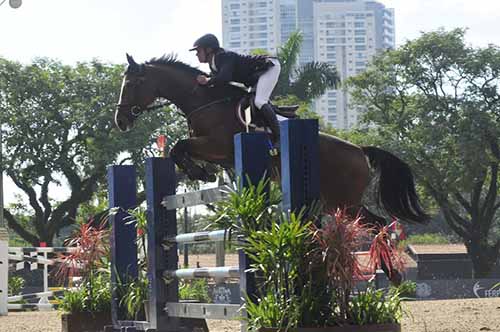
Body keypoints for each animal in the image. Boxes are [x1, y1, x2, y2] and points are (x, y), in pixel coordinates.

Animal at [114, 55, 430, 280]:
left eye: (131, 85)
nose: (121, 121)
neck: (204, 101)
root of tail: (359, 151)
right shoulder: (217, 153)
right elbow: (179, 150)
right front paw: (200, 172)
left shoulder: (218, 145)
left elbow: (179, 146)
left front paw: (200, 172)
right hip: (333, 202)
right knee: (375, 224)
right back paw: (390, 274)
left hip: (345, 201)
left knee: (379, 224)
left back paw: (393, 274)